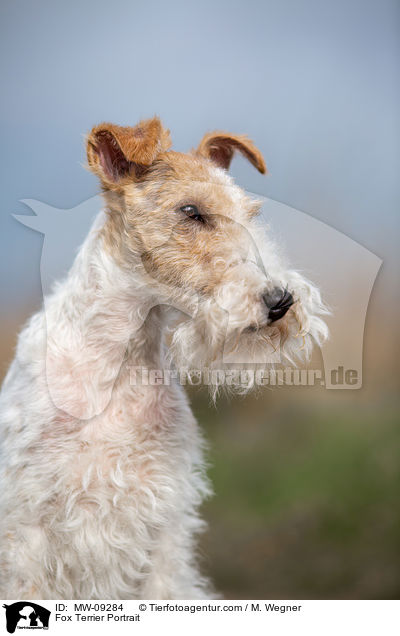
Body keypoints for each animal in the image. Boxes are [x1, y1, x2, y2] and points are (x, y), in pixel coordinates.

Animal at [0, 117, 328, 600]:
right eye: (191, 212)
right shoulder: (26, 526)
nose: (281, 300)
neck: (118, 364)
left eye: (251, 215)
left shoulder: (164, 521)